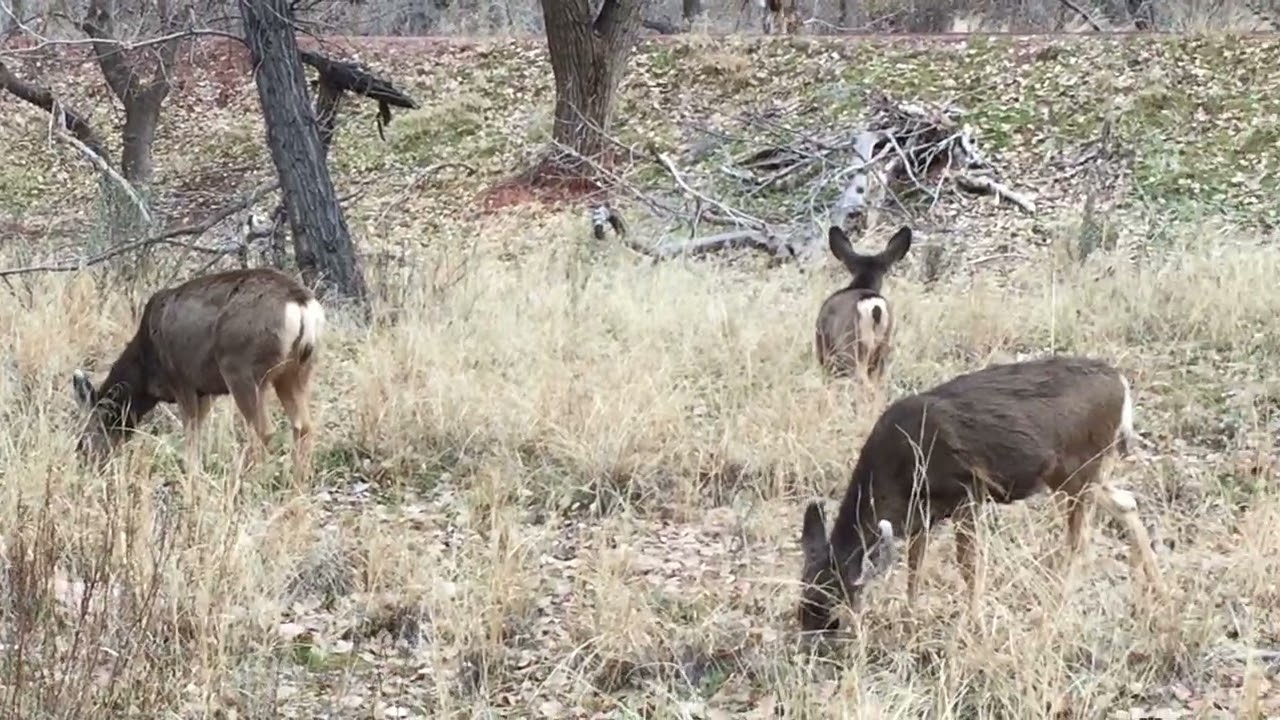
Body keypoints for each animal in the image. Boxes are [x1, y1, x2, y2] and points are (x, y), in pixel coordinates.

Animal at [71, 268, 326, 486]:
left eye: (88, 430)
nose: (81, 455)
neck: (146, 368)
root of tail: (301, 305)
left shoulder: (181, 378)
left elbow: (191, 433)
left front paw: (191, 478)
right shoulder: (206, 390)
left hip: (242, 369)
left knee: (264, 430)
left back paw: (245, 480)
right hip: (298, 370)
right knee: (303, 426)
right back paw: (298, 482)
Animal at [797, 355, 1168, 633]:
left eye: (833, 595)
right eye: (804, 589)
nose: (809, 630)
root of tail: (1121, 384)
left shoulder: (967, 491)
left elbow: (968, 564)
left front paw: (973, 622)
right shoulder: (923, 512)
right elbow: (915, 564)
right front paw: (910, 614)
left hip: (1081, 467)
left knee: (1081, 542)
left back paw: (1054, 611)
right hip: (1072, 476)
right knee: (1126, 502)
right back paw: (1160, 586)